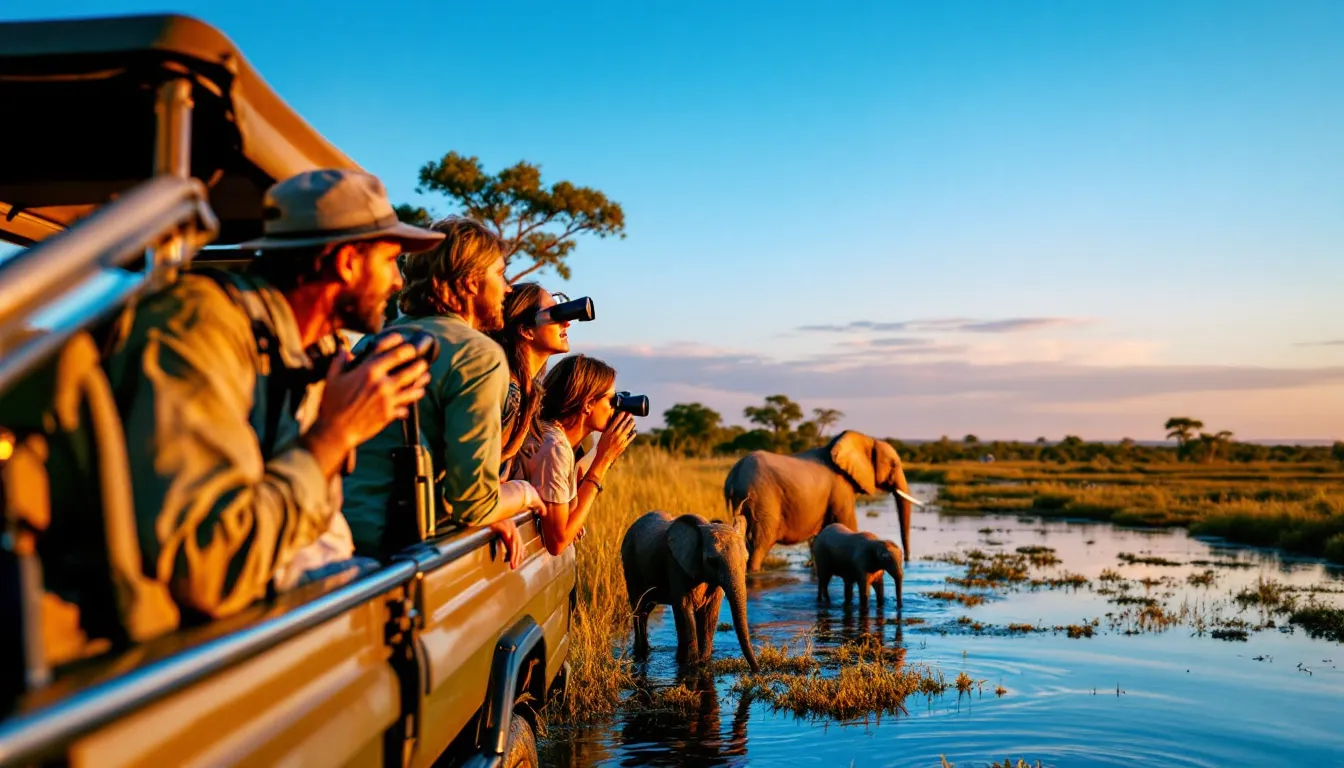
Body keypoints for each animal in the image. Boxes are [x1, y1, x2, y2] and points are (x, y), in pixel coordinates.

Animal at [620, 511, 760, 674]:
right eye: (712, 561)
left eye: (746, 559)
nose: (756, 670)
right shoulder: (675, 564)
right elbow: (684, 608)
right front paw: (690, 664)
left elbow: (710, 612)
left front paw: (703, 661)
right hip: (630, 565)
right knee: (639, 608)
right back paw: (641, 652)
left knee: (645, 610)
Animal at [724, 430, 918, 573]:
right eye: (893, 464)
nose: (908, 560)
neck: (868, 439)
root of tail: (735, 472)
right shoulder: (840, 489)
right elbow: (846, 523)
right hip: (762, 499)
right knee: (760, 544)